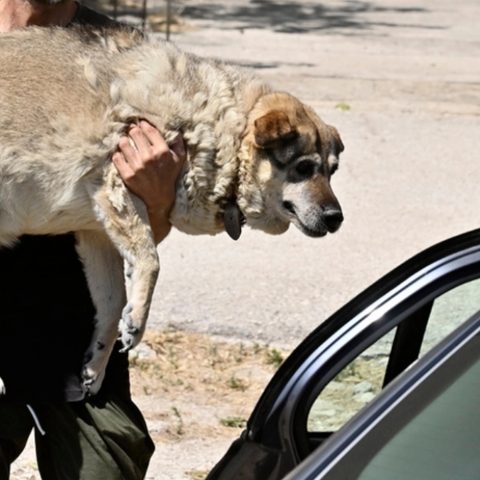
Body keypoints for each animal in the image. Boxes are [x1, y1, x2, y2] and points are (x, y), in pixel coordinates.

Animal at [0, 25, 344, 394]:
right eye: (304, 168)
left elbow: (112, 304)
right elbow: (152, 262)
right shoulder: (116, 185)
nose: (336, 218)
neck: (219, 125)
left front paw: (97, 364)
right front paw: (137, 322)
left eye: (332, 171)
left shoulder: (97, 231)